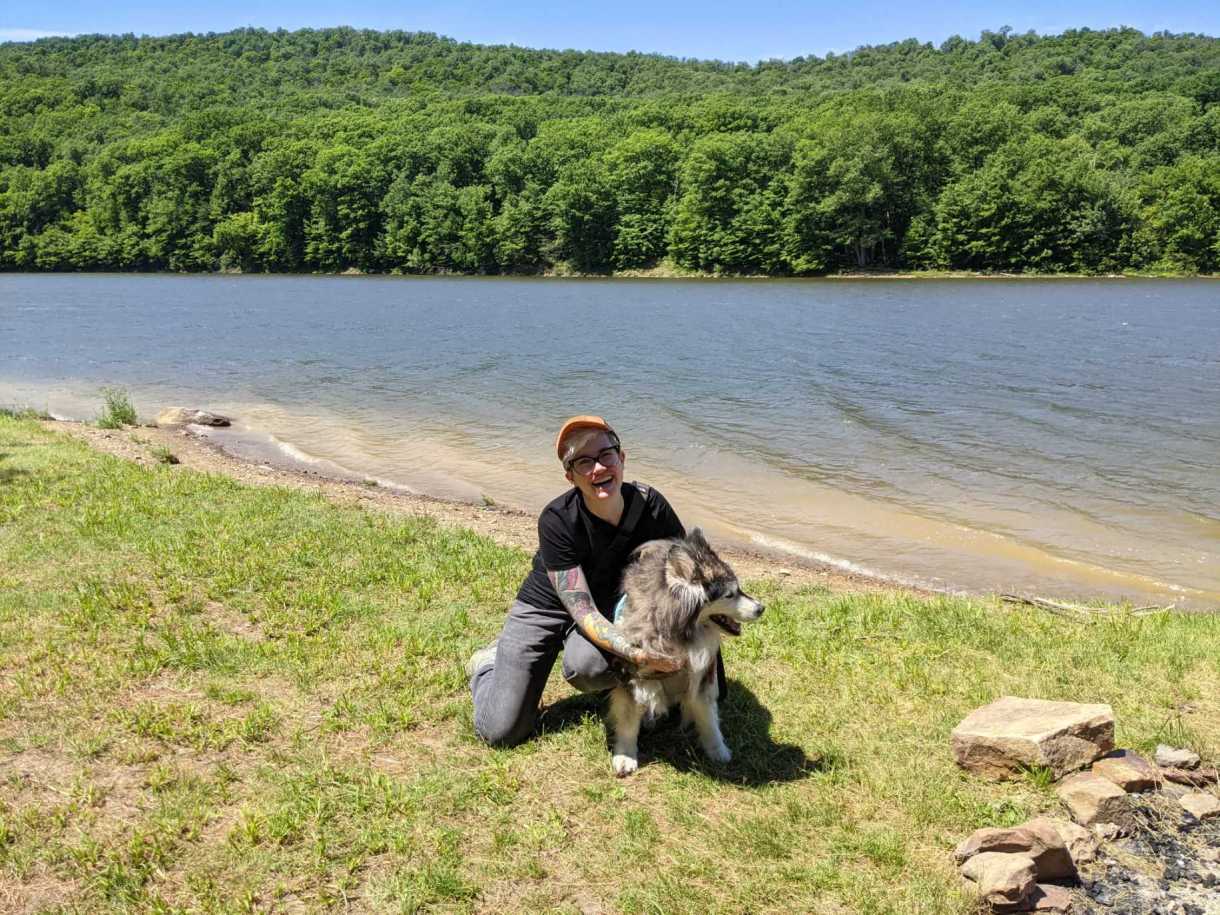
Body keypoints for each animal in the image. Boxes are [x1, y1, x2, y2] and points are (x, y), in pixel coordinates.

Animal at [607, 527, 761, 775]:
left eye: (738, 590)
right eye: (729, 595)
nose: (761, 608)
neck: (679, 636)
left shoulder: (702, 677)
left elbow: (709, 720)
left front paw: (718, 751)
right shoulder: (632, 677)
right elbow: (628, 721)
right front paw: (625, 756)